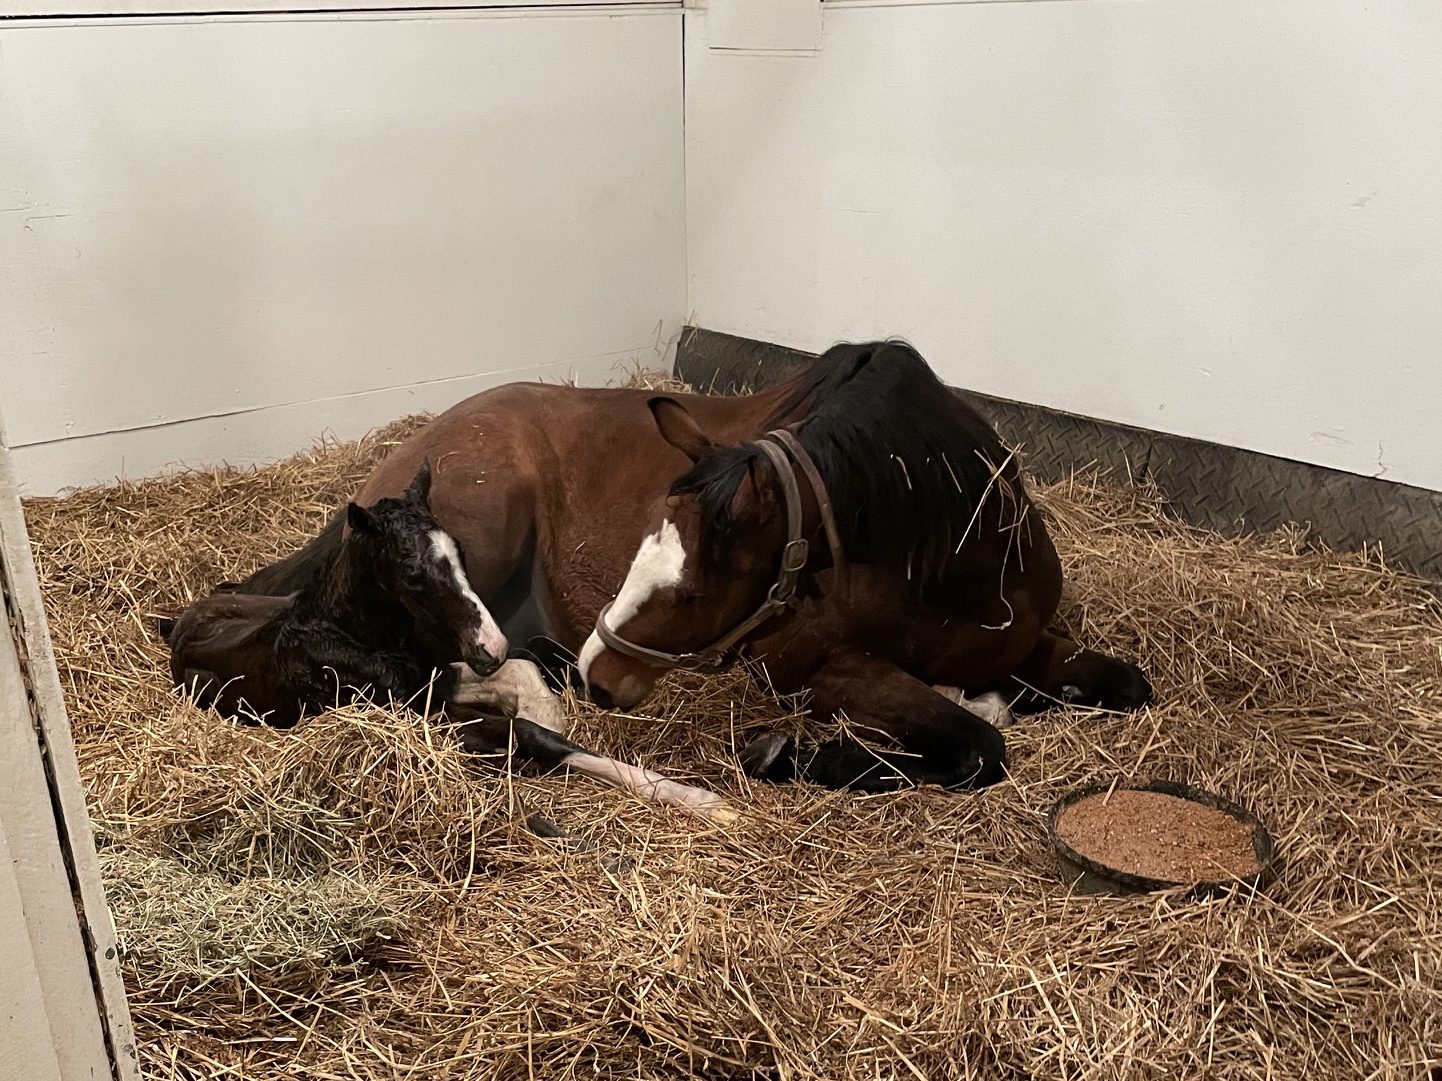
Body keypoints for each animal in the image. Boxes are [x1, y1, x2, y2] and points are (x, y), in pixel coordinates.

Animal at [224, 340, 1153, 795]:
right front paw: (787, 755)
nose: (601, 675)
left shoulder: (1032, 643)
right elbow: (976, 746)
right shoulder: (811, 665)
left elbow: (1119, 684)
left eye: (701, 584)